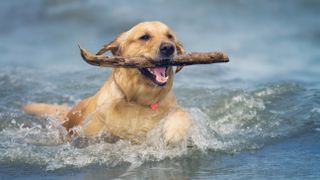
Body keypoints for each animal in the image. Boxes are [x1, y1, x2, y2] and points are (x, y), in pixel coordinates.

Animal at [24, 21, 192, 145]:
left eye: (170, 36)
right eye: (144, 37)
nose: (169, 47)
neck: (140, 102)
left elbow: (181, 113)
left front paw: (174, 132)